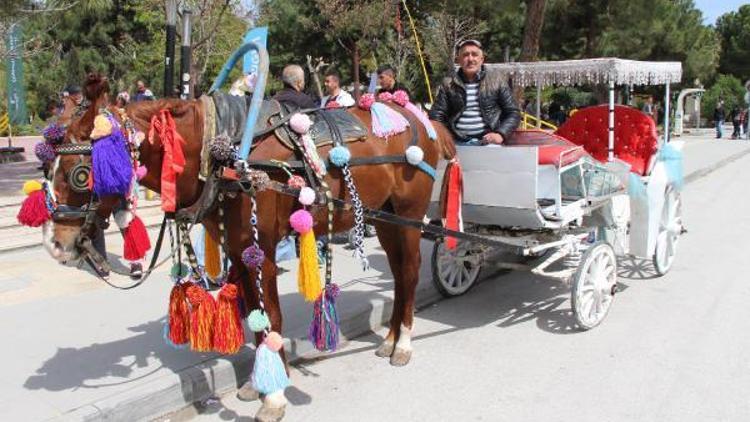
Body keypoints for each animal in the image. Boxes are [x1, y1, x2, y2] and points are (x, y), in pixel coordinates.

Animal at [51, 74, 458, 420]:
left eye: (79, 173)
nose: (57, 245)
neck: (227, 154)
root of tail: (421, 117)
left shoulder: (261, 249)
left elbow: (272, 316)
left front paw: (274, 395)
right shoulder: (239, 248)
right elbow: (256, 318)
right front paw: (258, 383)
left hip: (408, 214)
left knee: (409, 271)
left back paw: (403, 344)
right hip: (385, 218)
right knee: (400, 274)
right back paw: (390, 338)